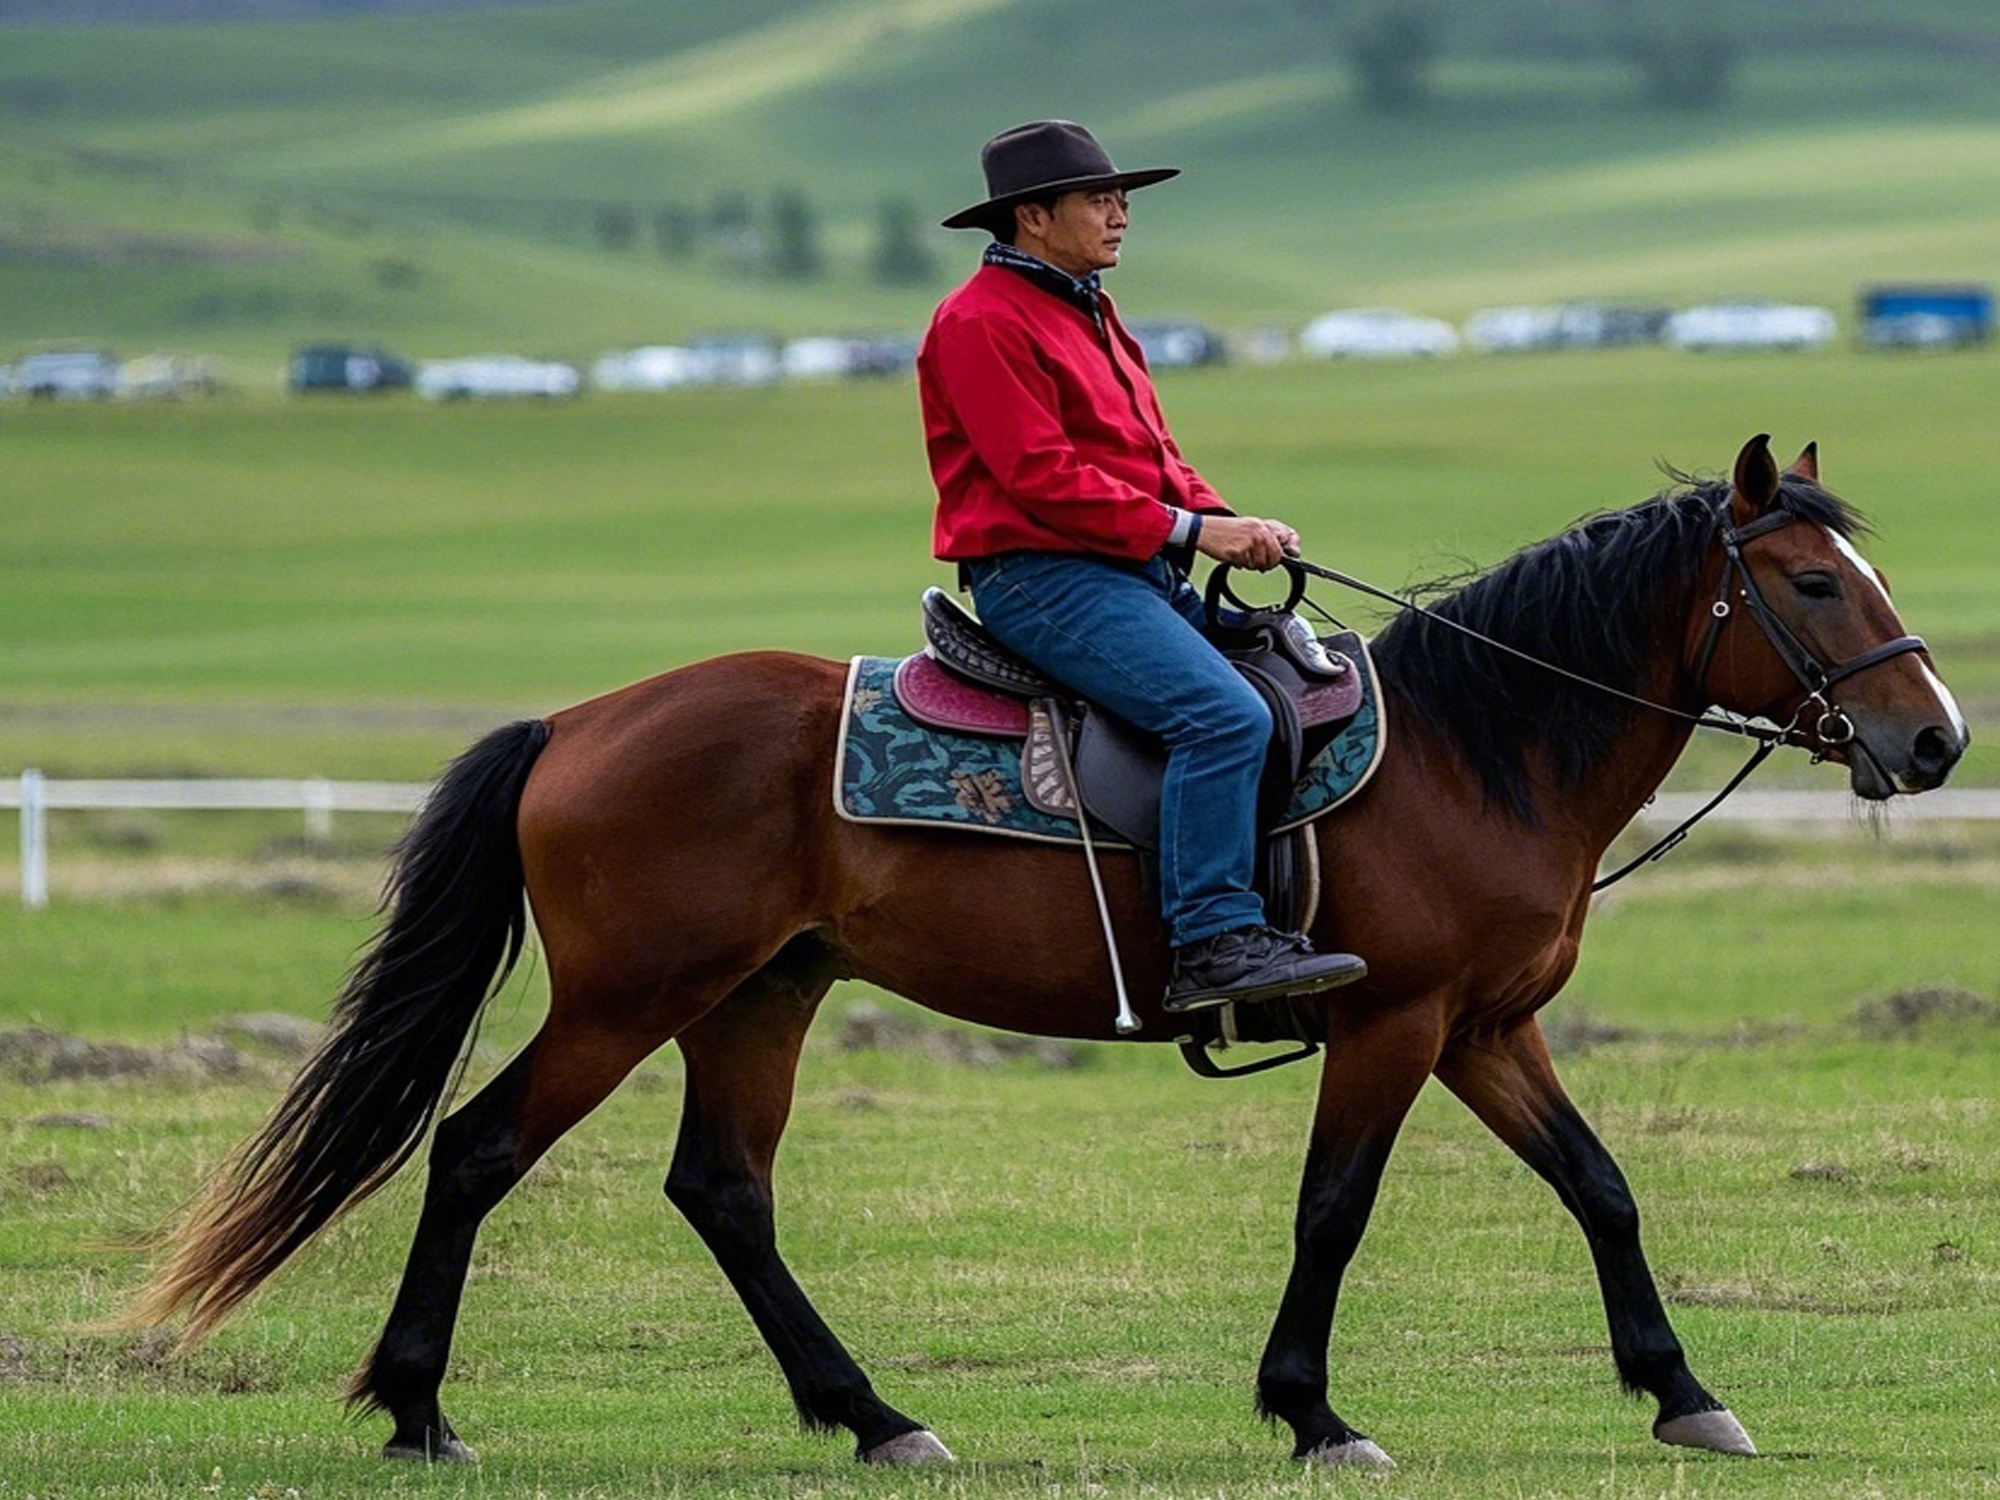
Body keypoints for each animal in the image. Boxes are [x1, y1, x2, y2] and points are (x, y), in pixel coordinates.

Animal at [119, 435, 1967, 1469]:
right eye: (1811, 580)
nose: (1937, 738)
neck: (1474, 749)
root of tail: (576, 722)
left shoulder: (1483, 1027)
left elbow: (1602, 1188)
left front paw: (1682, 1393)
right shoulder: (1397, 1027)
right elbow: (1336, 1209)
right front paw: (1312, 1412)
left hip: (761, 997)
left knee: (723, 1192)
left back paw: (874, 1418)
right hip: (634, 997)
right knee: (479, 1148)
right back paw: (421, 1410)